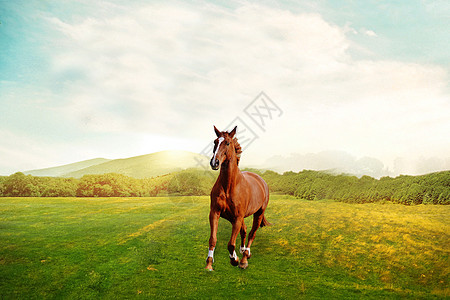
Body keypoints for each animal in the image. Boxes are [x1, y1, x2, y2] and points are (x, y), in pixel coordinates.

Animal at [206, 124, 268, 270]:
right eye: (215, 142)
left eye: (228, 143)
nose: (214, 163)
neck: (229, 187)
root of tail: (262, 181)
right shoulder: (216, 213)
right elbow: (213, 239)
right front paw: (209, 263)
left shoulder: (237, 217)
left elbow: (230, 244)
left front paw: (234, 260)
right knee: (244, 231)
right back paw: (242, 251)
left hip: (258, 214)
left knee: (252, 233)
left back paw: (245, 258)